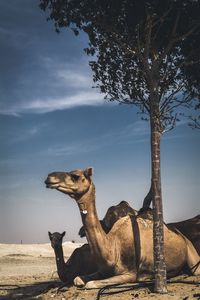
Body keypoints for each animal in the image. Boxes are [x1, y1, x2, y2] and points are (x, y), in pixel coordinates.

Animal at [44, 168, 199, 290]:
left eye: (75, 176)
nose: (49, 177)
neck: (114, 248)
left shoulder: (130, 273)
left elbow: (91, 284)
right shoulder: (102, 271)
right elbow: (77, 279)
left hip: (191, 254)